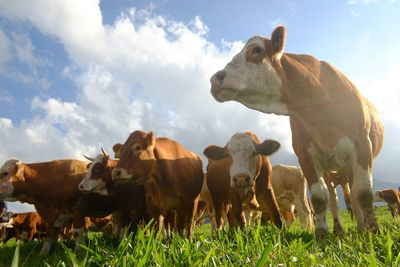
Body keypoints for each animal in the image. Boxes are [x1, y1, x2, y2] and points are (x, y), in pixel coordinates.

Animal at [209, 26, 384, 238]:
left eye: (256, 50)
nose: (214, 79)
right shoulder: (305, 154)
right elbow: (319, 197)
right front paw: (322, 234)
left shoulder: (362, 146)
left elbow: (364, 192)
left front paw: (373, 230)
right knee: (334, 198)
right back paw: (340, 229)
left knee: (354, 195)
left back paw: (361, 226)